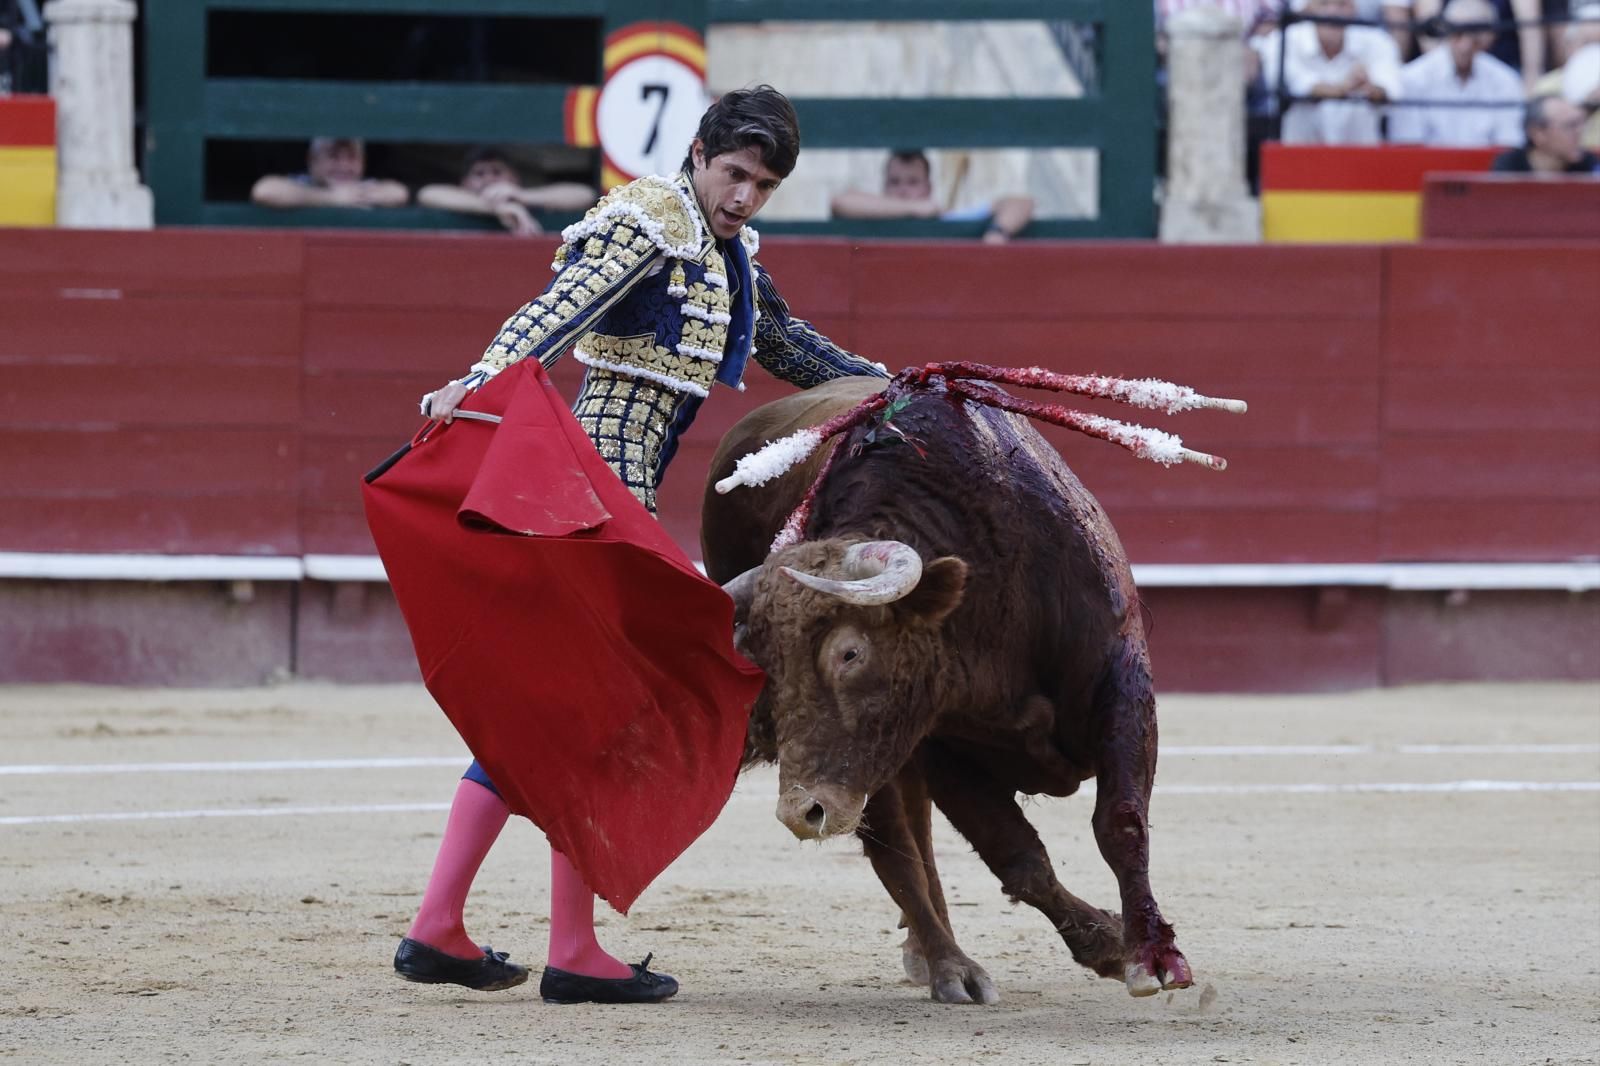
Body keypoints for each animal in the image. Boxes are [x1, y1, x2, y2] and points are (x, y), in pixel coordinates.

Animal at [700, 369, 1235, 998]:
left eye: (850, 652)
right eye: (769, 668)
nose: (800, 811)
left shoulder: (1121, 682)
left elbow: (1121, 821)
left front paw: (1152, 956)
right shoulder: (936, 740)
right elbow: (1018, 857)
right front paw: (1107, 942)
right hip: (877, 767)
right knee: (898, 846)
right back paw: (950, 966)